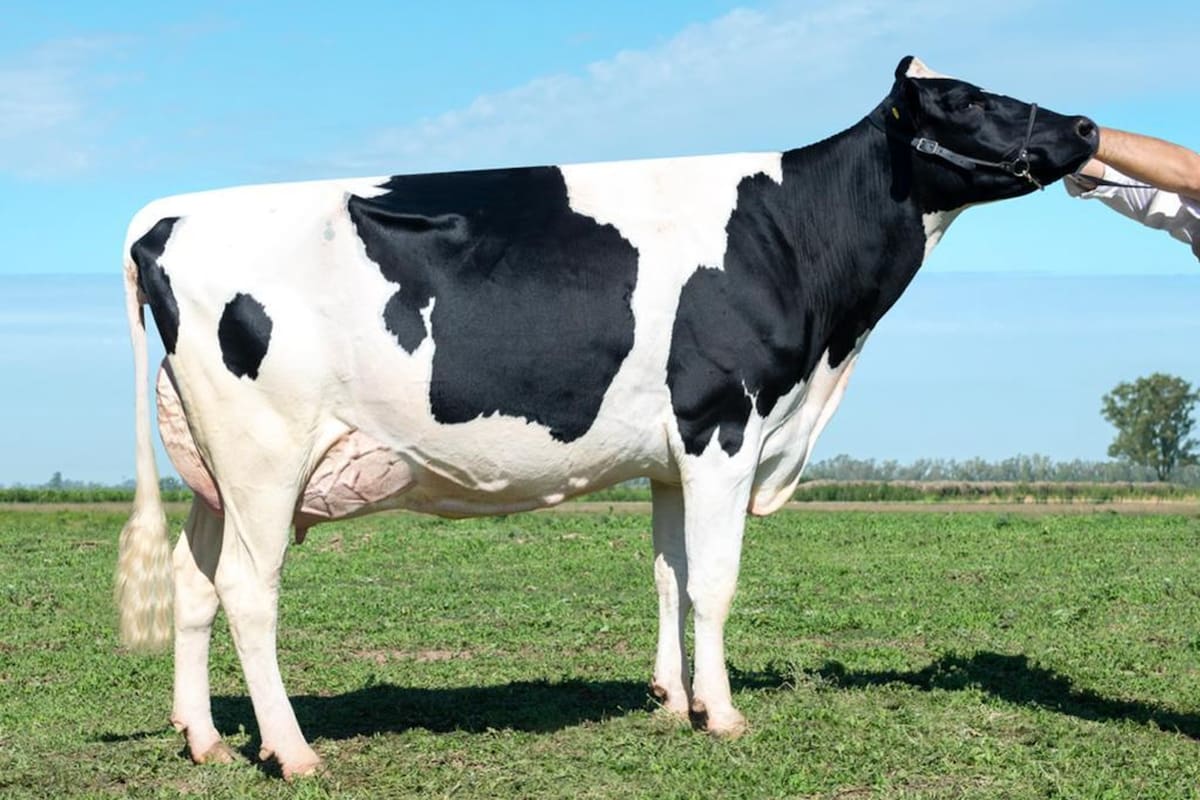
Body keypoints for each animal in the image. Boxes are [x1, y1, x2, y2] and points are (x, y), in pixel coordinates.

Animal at [116, 56, 1098, 777]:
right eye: (964, 99)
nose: (1086, 127)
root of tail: (170, 217)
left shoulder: (669, 454)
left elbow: (668, 575)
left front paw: (673, 698)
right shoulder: (722, 425)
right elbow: (714, 580)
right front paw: (723, 713)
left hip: (214, 469)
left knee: (195, 583)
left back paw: (205, 739)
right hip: (265, 453)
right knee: (248, 591)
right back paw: (291, 751)